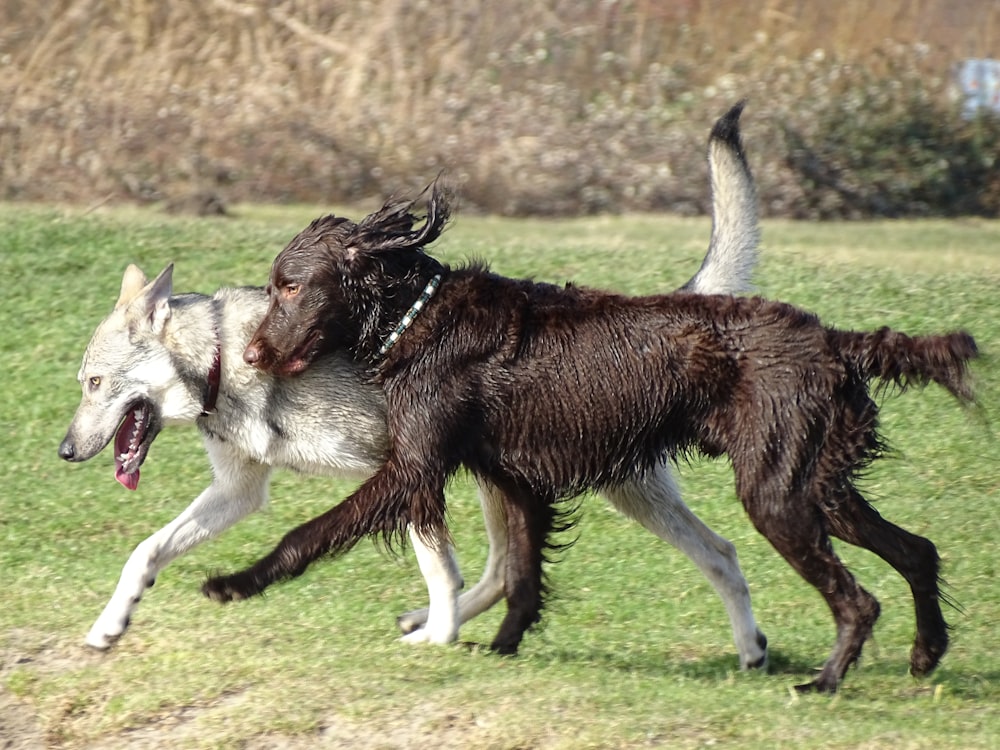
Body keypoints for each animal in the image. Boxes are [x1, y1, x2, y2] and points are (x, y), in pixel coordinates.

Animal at [60, 104, 764, 668]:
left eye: (94, 382)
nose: (64, 453)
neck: (221, 358)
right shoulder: (243, 491)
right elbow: (147, 551)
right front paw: (109, 625)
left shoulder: (402, 470)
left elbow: (431, 564)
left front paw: (439, 636)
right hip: (516, 479)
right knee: (580, 563)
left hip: (590, 484)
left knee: (713, 552)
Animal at [213, 181, 976, 692]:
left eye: (290, 287)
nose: (249, 355)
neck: (417, 318)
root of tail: (830, 339)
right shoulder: (518, 481)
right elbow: (522, 579)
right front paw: (501, 650)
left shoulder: (414, 469)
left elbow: (309, 531)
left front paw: (235, 582)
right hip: (817, 485)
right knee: (919, 551)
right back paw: (925, 653)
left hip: (777, 495)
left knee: (859, 597)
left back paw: (824, 681)